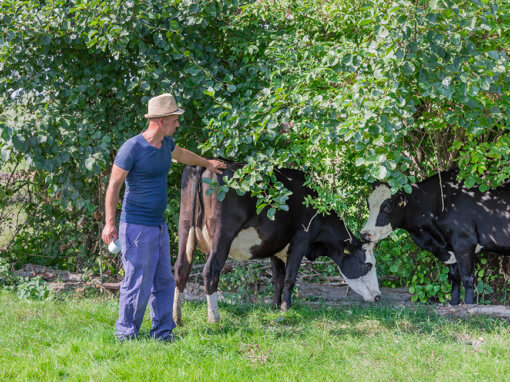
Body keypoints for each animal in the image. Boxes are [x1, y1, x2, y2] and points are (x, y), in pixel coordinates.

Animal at [173, 163, 380, 324]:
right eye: (367, 264)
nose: (378, 296)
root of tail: (205, 163)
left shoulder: (275, 246)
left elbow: (277, 279)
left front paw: (274, 305)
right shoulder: (300, 240)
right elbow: (289, 277)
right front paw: (285, 308)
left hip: (185, 226)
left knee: (181, 267)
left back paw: (177, 318)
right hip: (222, 235)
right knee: (210, 271)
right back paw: (214, 318)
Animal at [360, 169, 508, 304]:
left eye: (387, 206)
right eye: (368, 204)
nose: (364, 234)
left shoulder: (464, 243)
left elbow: (467, 279)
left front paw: (469, 307)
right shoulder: (450, 248)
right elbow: (454, 278)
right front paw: (453, 304)